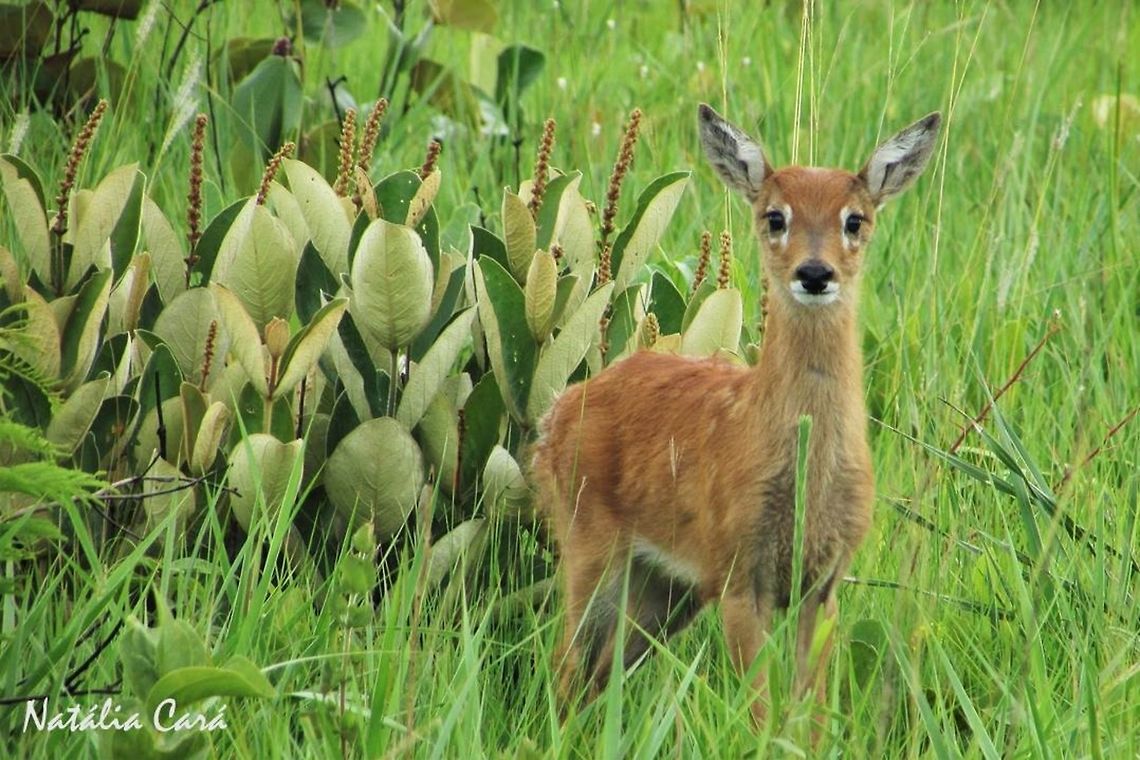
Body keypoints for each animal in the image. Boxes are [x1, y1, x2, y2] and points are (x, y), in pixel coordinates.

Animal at [530, 103, 941, 724]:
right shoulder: (738, 572)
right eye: (775, 216)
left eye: (855, 220)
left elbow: (809, 713)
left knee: (600, 672)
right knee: (566, 663)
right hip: (588, 544)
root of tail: (553, 417)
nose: (814, 273)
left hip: (665, 591)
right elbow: (760, 711)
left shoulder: (823, 583)